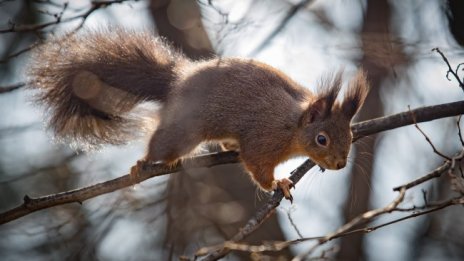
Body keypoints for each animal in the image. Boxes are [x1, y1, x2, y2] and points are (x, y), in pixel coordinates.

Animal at [29, 28, 370, 200]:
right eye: (322, 139)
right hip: (183, 132)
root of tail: (177, 82)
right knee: (162, 145)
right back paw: (142, 164)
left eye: (350, 134)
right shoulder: (262, 140)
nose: (340, 164)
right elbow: (257, 167)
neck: (292, 127)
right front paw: (277, 184)